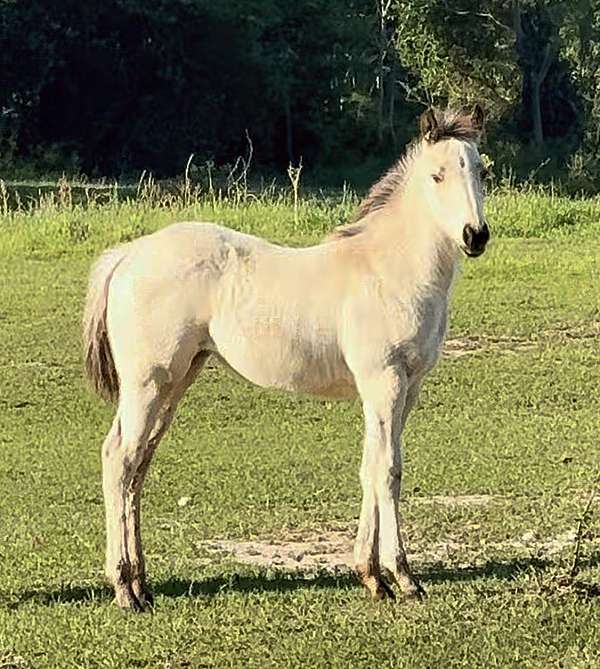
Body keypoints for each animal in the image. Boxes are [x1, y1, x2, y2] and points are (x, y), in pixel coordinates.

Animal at [83, 106, 490, 611]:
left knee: (137, 464)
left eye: (481, 171)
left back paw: (142, 585)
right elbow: (389, 471)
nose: (476, 236)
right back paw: (124, 589)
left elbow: (370, 466)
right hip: (148, 382)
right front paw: (404, 577)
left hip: (175, 382)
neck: (386, 268)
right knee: (119, 458)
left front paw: (371, 576)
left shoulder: (404, 389)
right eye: (437, 175)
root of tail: (128, 255)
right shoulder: (384, 381)